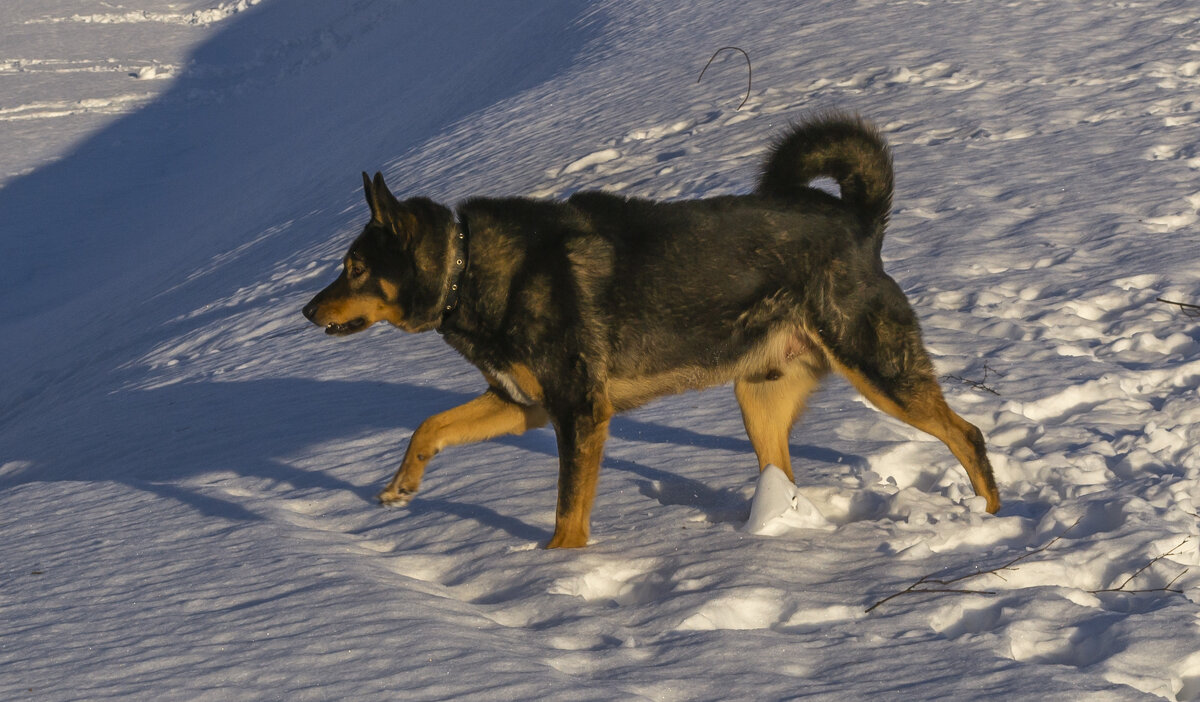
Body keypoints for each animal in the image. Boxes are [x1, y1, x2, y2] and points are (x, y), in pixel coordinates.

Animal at [304, 113, 998, 547]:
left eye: (355, 268)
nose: (307, 312)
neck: (465, 267)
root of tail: (862, 224)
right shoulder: (526, 404)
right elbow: (429, 428)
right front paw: (401, 487)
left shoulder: (580, 411)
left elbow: (568, 516)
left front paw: (555, 575)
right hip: (759, 397)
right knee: (787, 475)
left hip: (881, 371)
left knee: (968, 434)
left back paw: (992, 523)